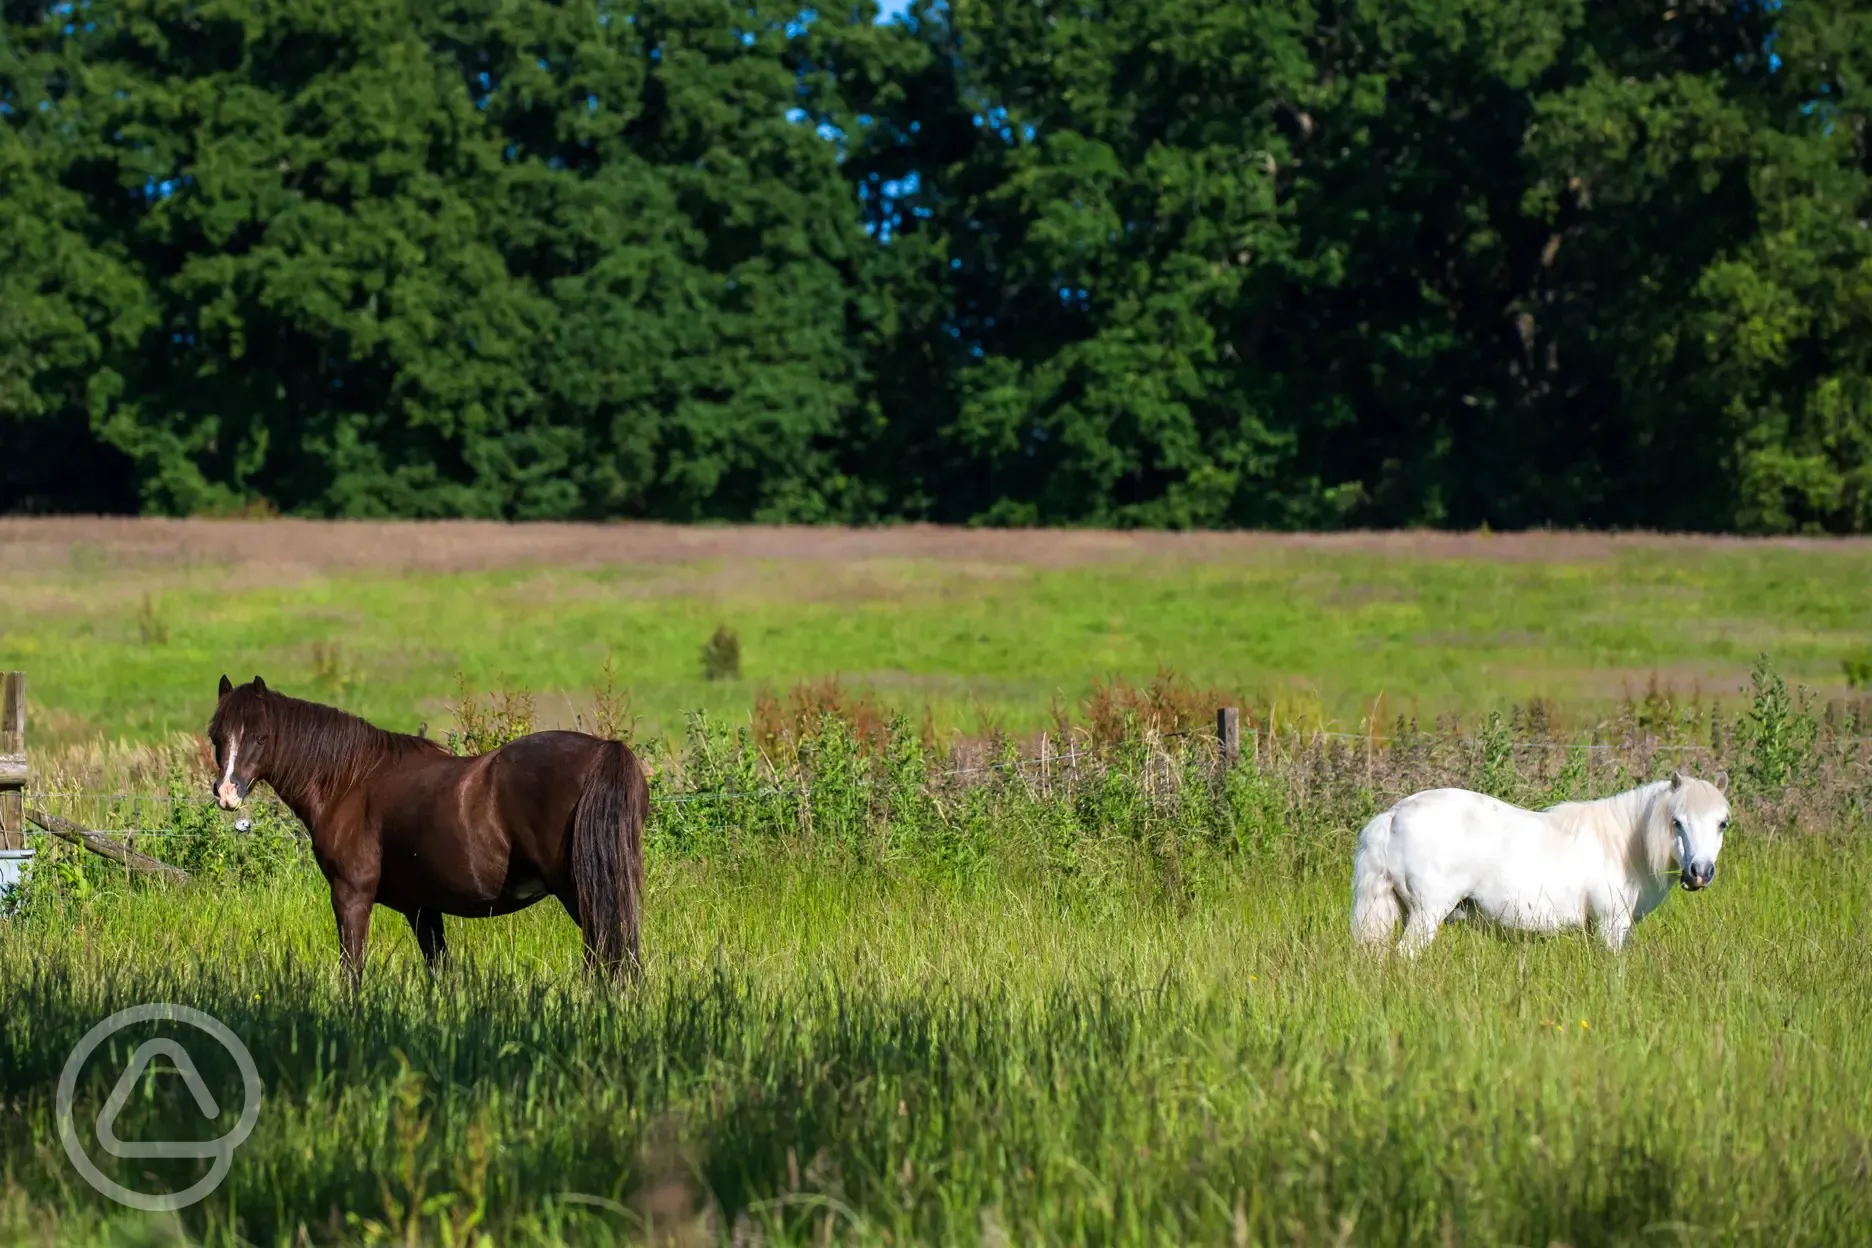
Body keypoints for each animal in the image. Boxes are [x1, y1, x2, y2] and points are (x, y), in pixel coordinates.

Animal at [207, 677, 647, 980]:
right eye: (217, 736)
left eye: (261, 737)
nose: (227, 792)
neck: (350, 782)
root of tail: (604, 751)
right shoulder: (423, 908)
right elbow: (439, 971)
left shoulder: (351, 896)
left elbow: (353, 969)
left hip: (580, 893)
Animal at [1355, 770, 1729, 957]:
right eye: (1677, 821)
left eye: (1722, 823)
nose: (1700, 873)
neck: (1623, 845)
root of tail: (1394, 814)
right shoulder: (1611, 926)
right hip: (1426, 914)